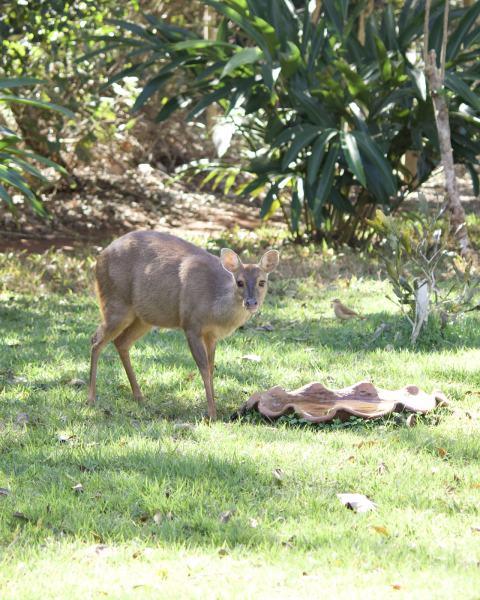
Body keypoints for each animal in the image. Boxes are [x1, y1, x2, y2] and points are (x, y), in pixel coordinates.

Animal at [87, 231, 279, 420]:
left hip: (144, 317)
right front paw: (212, 414)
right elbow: (203, 368)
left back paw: (139, 397)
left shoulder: (211, 335)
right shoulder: (191, 325)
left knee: (121, 342)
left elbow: (211, 368)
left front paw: (214, 409)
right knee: (95, 340)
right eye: (239, 282)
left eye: (262, 282)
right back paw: (91, 398)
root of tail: (100, 257)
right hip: (114, 302)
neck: (214, 307)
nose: (251, 302)